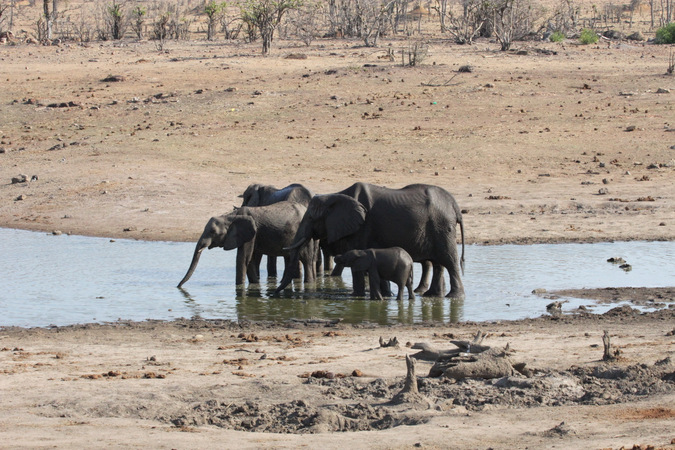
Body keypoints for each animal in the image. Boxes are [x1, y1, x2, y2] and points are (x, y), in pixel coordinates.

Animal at [178, 201, 318, 288]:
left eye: (212, 232)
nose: (178, 286)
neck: (230, 216)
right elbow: (250, 259)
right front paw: (254, 285)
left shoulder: (251, 233)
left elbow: (243, 258)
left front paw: (239, 287)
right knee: (292, 259)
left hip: (305, 234)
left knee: (306, 260)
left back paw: (309, 283)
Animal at [274, 183, 464, 298]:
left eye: (311, 217)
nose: (272, 295)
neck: (336, 196)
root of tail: (455, 206)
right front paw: (384, 295)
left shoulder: (362, 227)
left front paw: (357, 296)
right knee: (439, 263)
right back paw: (432, 295)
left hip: (442, 227)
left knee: (450, 261)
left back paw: (454, 296)